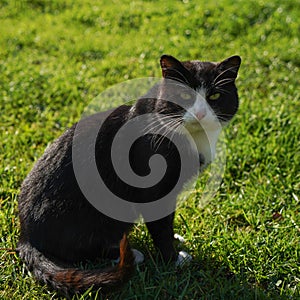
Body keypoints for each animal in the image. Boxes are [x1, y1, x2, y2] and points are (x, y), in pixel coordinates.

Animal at [17, 54, 241, 296]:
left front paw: (175, 240)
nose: (200, 114)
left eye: (215, 96)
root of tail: (26, 237)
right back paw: (129, 253)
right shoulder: (153, 190)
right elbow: (160, 226)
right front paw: (172, 259)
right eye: (184, 96)